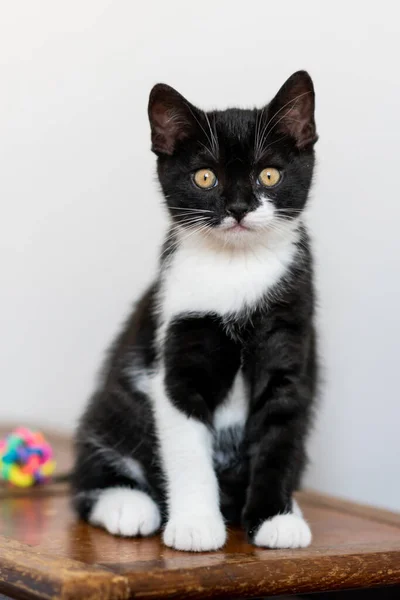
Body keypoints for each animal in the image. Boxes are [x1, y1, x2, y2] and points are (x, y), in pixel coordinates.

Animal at [70, 71, 318, 552]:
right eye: (205, 177)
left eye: (269, 174)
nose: (238, 208)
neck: (236, 268)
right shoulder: (177, 353)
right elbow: (187, 449)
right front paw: (196, 525)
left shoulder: (289, 336)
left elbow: (280, 438)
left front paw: (274, 517)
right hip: (112, 407)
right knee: (88, 479)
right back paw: (128, 505)